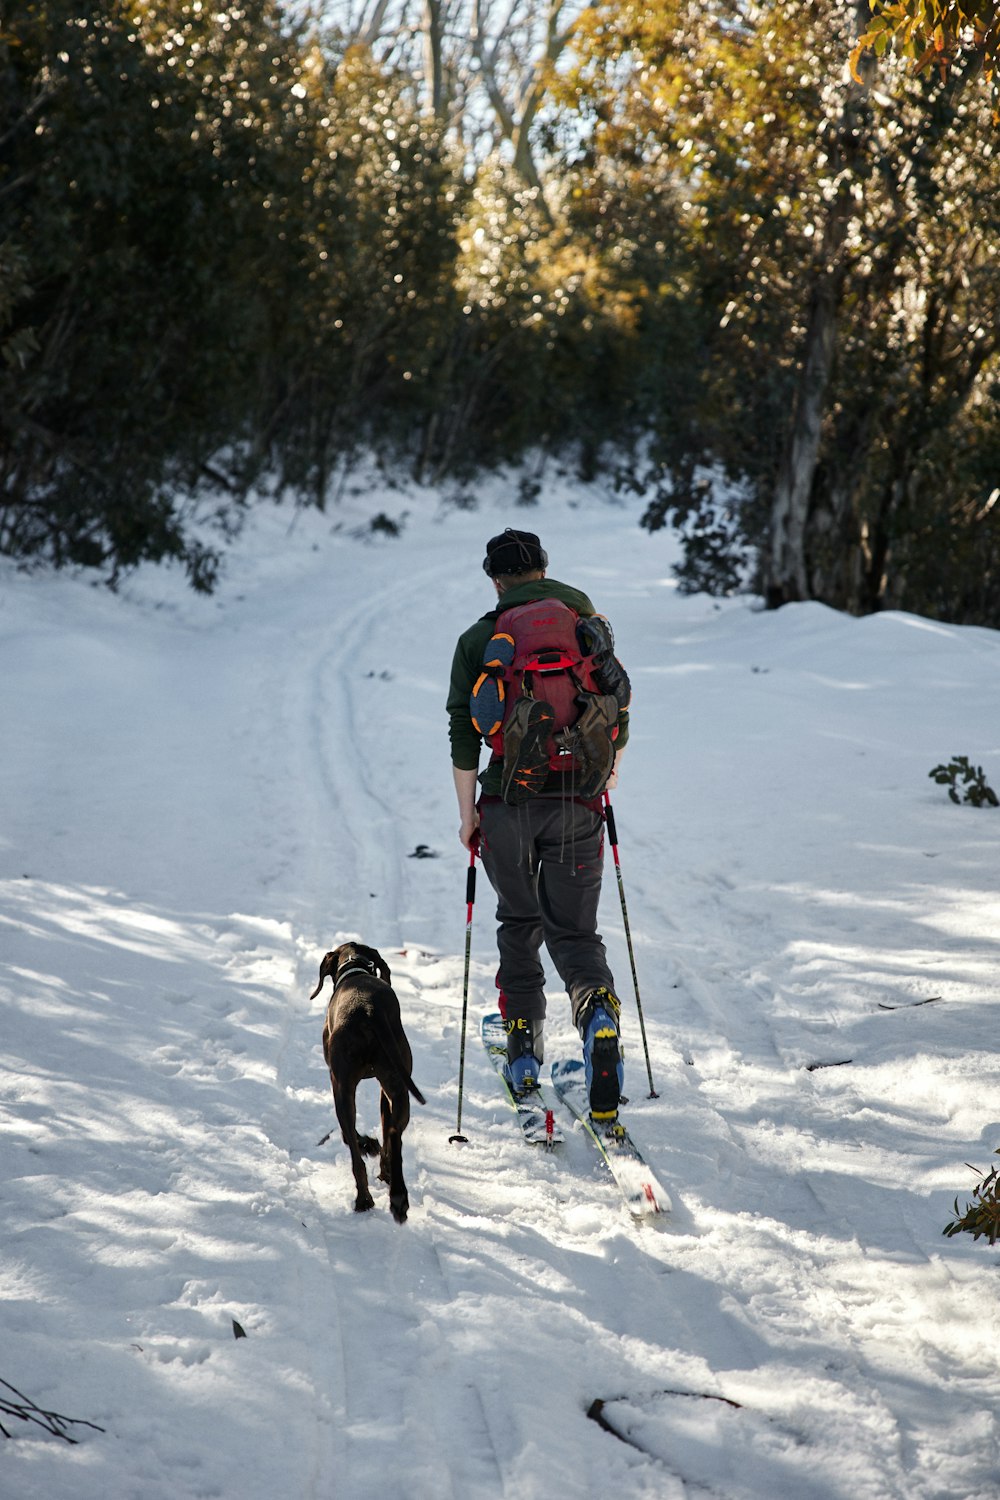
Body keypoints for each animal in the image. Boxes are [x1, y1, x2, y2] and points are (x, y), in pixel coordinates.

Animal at [310, 942, 425, 1224]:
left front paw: (368, 1145)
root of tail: (369, 1012)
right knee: (394, 1135)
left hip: (342, 1088)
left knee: (354, 1150)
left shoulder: (339, 1083)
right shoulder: (385, 1091)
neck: (354, 967)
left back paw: (364, 1198)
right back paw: (398, 1198)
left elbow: (348, 1135)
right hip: (398, 1088)